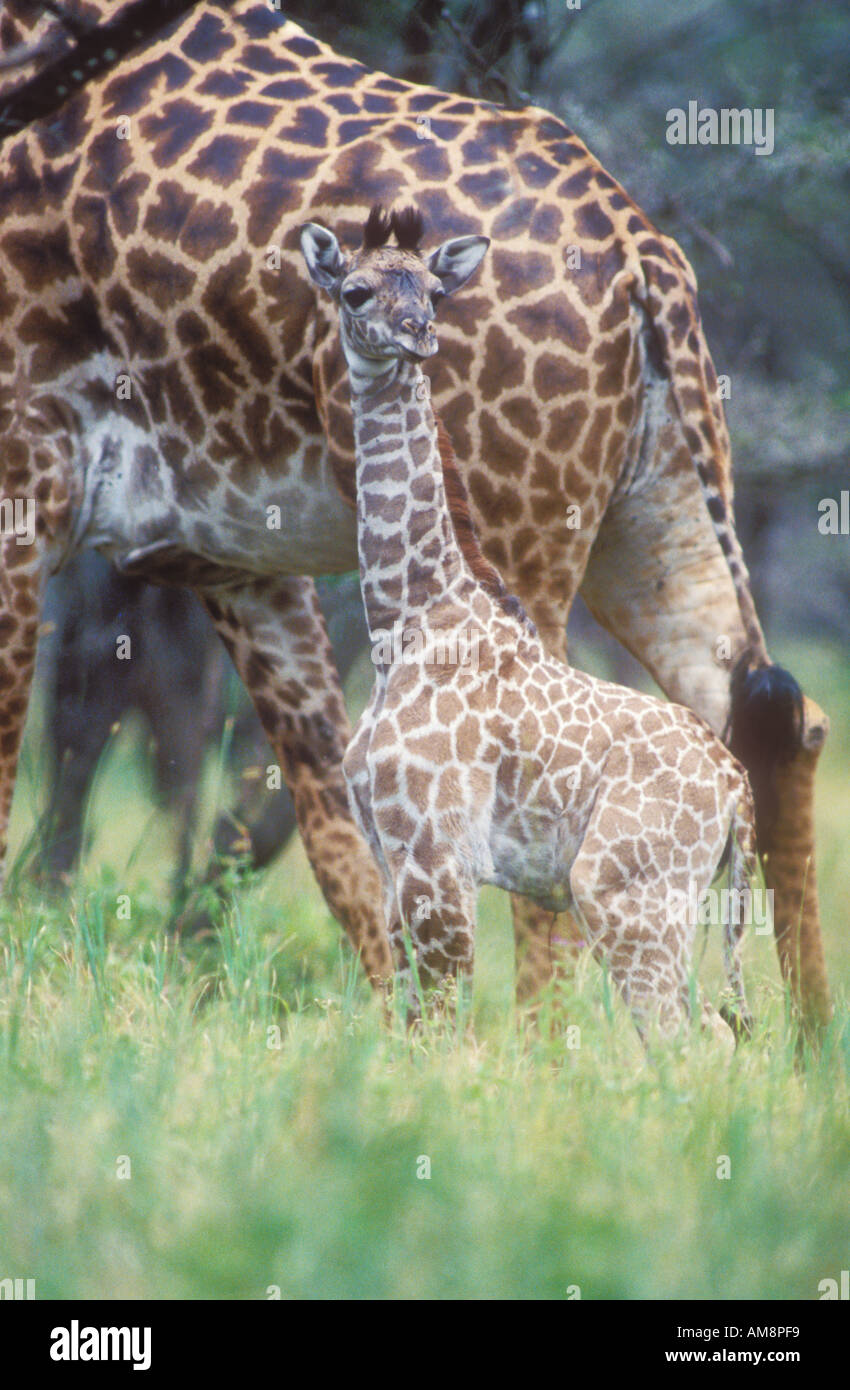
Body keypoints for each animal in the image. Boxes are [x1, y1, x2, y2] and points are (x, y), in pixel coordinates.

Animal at [300, 208, 755, 1045]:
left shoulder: (437, 856)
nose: (416, 333)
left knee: (683, 1036)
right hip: (674, 907)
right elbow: (409, 1026)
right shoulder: (392, 855)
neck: (409, 621)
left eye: (434, 292)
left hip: (622, 893)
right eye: (355, 291)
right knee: (712, 1028)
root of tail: (737, 790)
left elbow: (442, 1029)